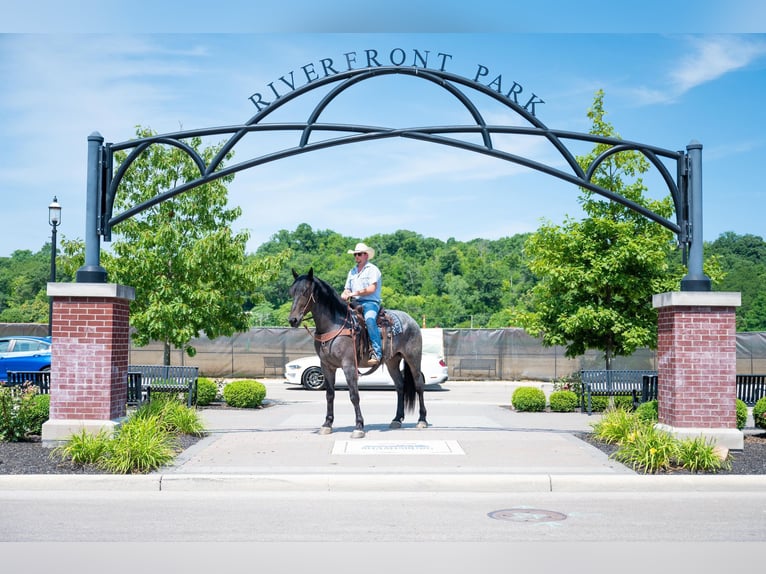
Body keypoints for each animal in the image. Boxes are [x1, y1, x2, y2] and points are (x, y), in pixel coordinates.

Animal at [290, 268, 432, 438]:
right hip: (392, 361)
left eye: (305, 291)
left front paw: (358, 426)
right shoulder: (326, 366)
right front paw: (327, 424)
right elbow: (329, 395)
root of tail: (411, 321)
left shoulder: (349, 366)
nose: (293, 320)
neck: (334, 325)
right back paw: (397, 419)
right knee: (400, 386)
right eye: (292, 292)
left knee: (419, 385)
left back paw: (422, 420)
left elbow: (354, 395)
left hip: (413, 359)